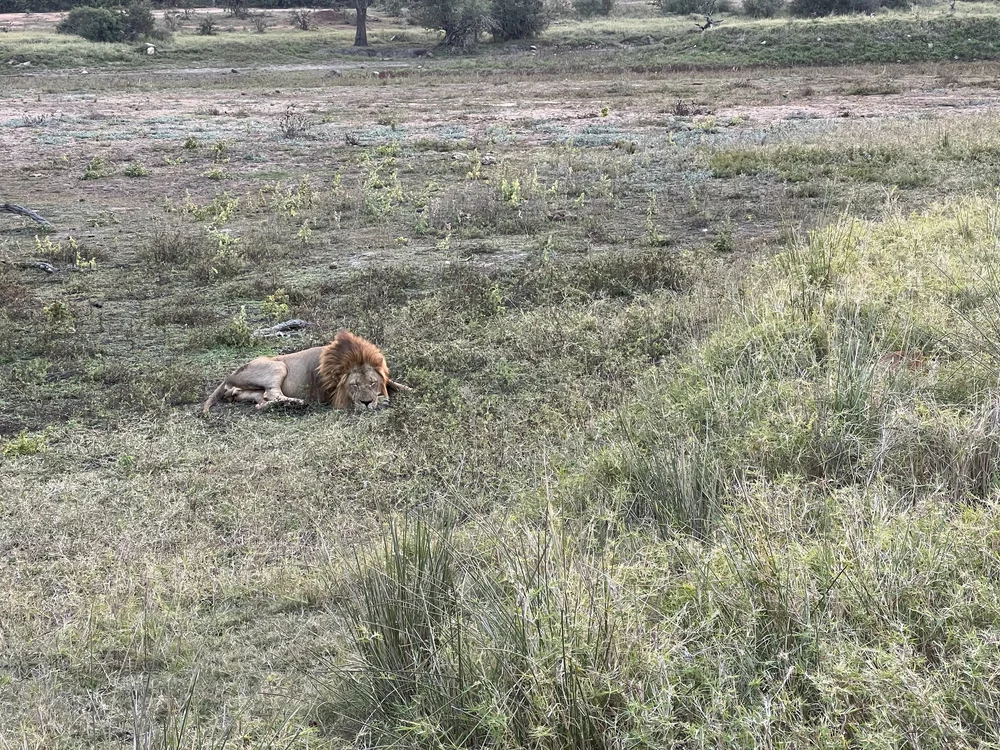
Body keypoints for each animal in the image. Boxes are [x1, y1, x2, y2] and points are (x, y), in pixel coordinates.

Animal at [202, 329, 410, 415]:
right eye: (354, 385)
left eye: (372, 383)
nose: (366, 402)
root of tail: (229, 376)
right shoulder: (332, 397)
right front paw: (381, 401)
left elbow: (394, 383)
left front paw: (410, 389)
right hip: (278, 365)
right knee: (272, 393)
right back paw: (297, 403)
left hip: (248, 392)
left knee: (261, 402)